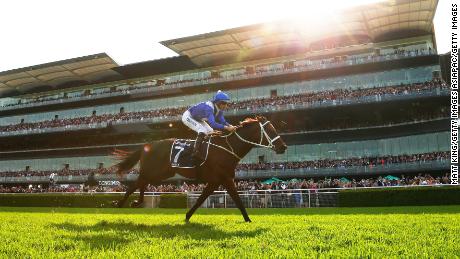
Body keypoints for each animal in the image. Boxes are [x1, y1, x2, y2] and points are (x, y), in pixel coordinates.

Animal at [112, 116, 286, 223]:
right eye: (270, 130)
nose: (283, 147)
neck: (226, 148)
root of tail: (147, 145)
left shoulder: (216, 181)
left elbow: (202, 199)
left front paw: (187, 216)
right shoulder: (225, 179)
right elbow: (237, 200)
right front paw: (249, 220)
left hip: (162, 173)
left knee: (142, 182)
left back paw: (137, 201)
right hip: (157, 171)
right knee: (136, 183)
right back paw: (119, 203)